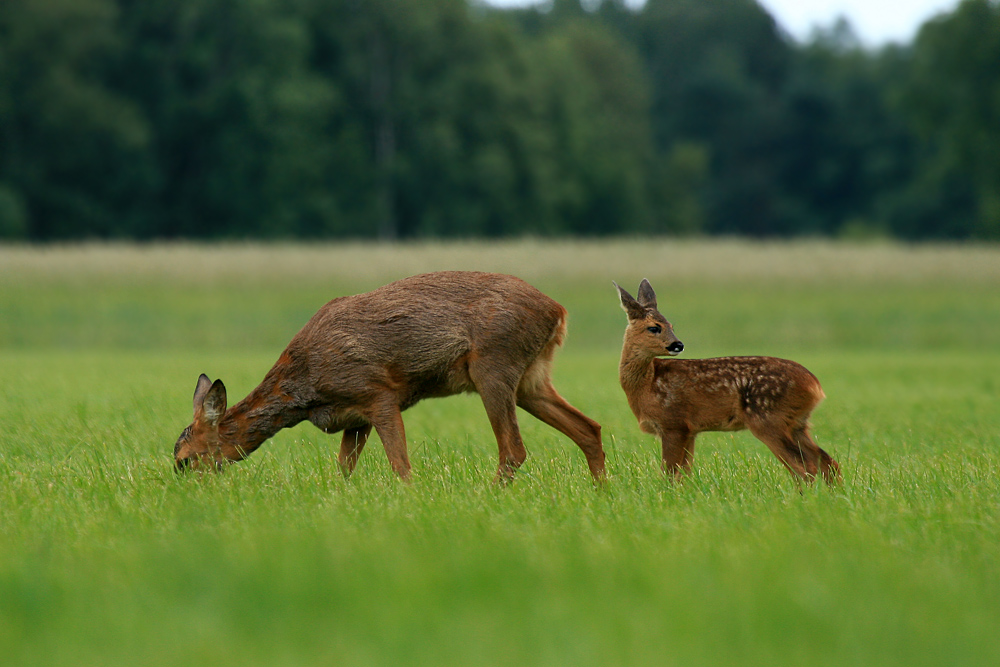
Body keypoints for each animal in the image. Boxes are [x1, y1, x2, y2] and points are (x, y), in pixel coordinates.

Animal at [175, 272, 604, 486]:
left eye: (185, 459)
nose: (184, 490)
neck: (305, 387)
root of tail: (558, 310)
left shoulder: (377, 393)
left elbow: (401, 466)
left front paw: (410, 501)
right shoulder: (353, 418)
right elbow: (343, 470)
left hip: (494, 366)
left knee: (514, 449)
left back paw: (488, 495)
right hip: (531, 379)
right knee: (589, 427)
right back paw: (601, 492)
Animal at [616, 278, 836, 486]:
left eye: (670, 326)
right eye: (654, 327)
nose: (677, 344)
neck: (647, 384)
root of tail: (815, 385)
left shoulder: (674, 423)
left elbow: (669, 474)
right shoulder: (690, 430)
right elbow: (684, 474)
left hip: (769, 418)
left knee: (803, 467)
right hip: (798, 423)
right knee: (826, 461)